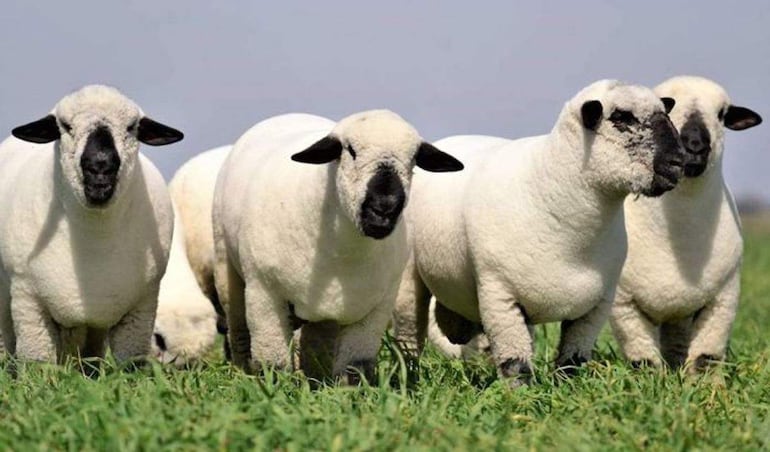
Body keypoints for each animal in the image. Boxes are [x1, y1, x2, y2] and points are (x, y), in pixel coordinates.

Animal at [0, 85, 183, 366]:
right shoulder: (28, 301)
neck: (95, 237)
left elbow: (129, 366)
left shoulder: (141, 308)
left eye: (132, 127)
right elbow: (38, 365)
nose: (100, 166)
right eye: (65, 126)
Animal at [212, 111, 463, 383]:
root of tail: (289, 115)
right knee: (238, 331)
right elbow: (273, 363)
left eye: (414, 158)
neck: (346, 253)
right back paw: (242, 373)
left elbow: (355, 367)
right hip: (227, 268)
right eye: (350, 150)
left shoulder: (376, 308)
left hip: (324, 314)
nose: (385, 207)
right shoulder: (265, 294)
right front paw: (275, 389)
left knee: (314, 343)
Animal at [393, 80, 685, 386]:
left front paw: (567, 387)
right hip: (409, 279)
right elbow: (515, 363)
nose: (678, 162)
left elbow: (572, 360)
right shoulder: (500, 295)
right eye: (621, 118)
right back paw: (408, 375)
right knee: (409, 336)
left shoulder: (596, 305)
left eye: (665, 113)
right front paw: (521, 394)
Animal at [610, 76, 762, 372]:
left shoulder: (723, 299)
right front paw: (651, 382)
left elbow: (706, 358)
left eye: (722, 114)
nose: (693, 144)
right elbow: (643, 360)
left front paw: (705, 384)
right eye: (666, 110)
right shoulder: (623, 304)